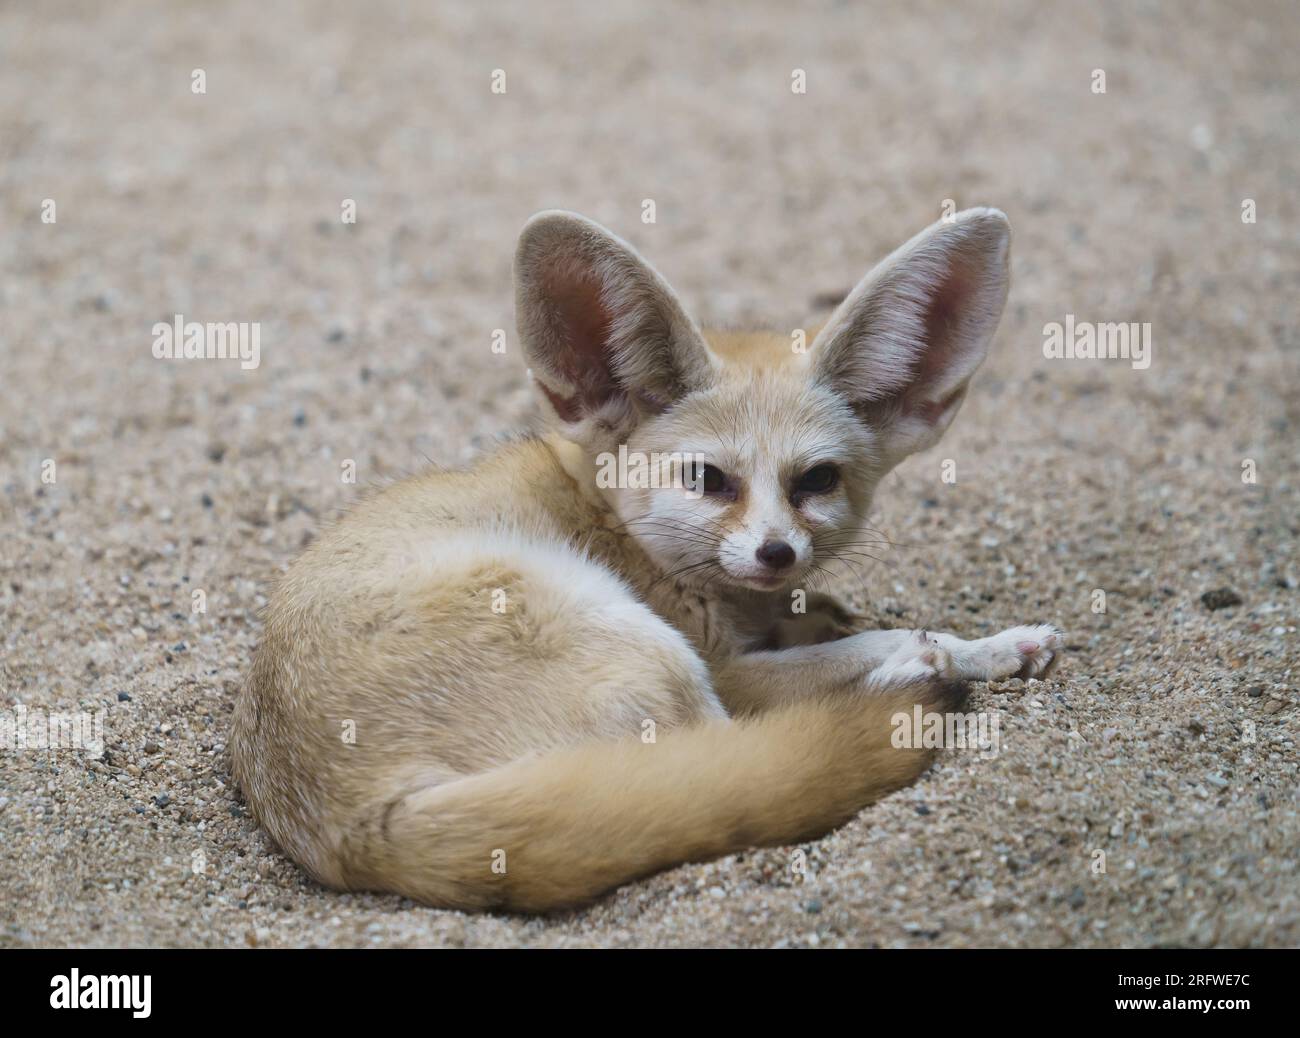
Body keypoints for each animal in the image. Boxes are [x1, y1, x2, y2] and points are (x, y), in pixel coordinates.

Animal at [233, 206, 1060, 915]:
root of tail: (356, 830)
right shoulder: (724, 664)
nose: (776, 551)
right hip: (642, 647)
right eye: (708, 479)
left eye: (817, 481)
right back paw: (909, 678)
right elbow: (867, 646)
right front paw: (975, 646)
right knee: (738, 752)